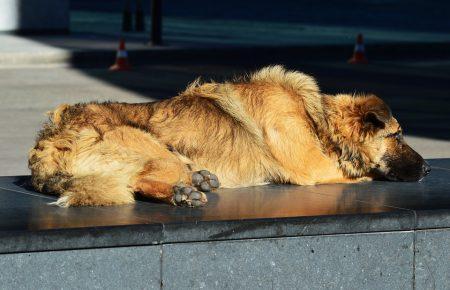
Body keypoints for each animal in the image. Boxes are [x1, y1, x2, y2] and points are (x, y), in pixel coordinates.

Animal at [27, 65, 428, 207]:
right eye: (398, 135)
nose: (427, 171)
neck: (317, 118)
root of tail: (47, 140)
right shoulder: (315, 168)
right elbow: (362, 175)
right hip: (154, 147)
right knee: (137, 179)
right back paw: (183, 193)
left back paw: (198, 180)